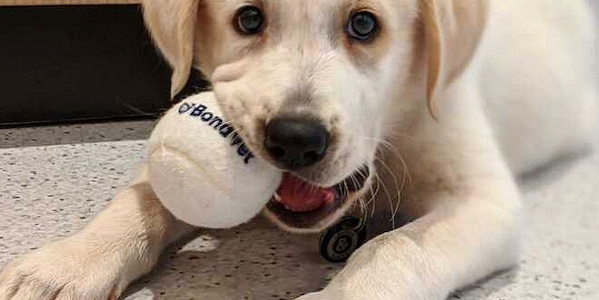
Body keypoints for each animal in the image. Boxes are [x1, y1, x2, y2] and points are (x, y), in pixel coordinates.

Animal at [1, 0, 599, 298]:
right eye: (248, 18)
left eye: (364, 24)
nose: (294, 138)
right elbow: (144, 197)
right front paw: (65, 265)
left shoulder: (485, 198)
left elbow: (395, 248)